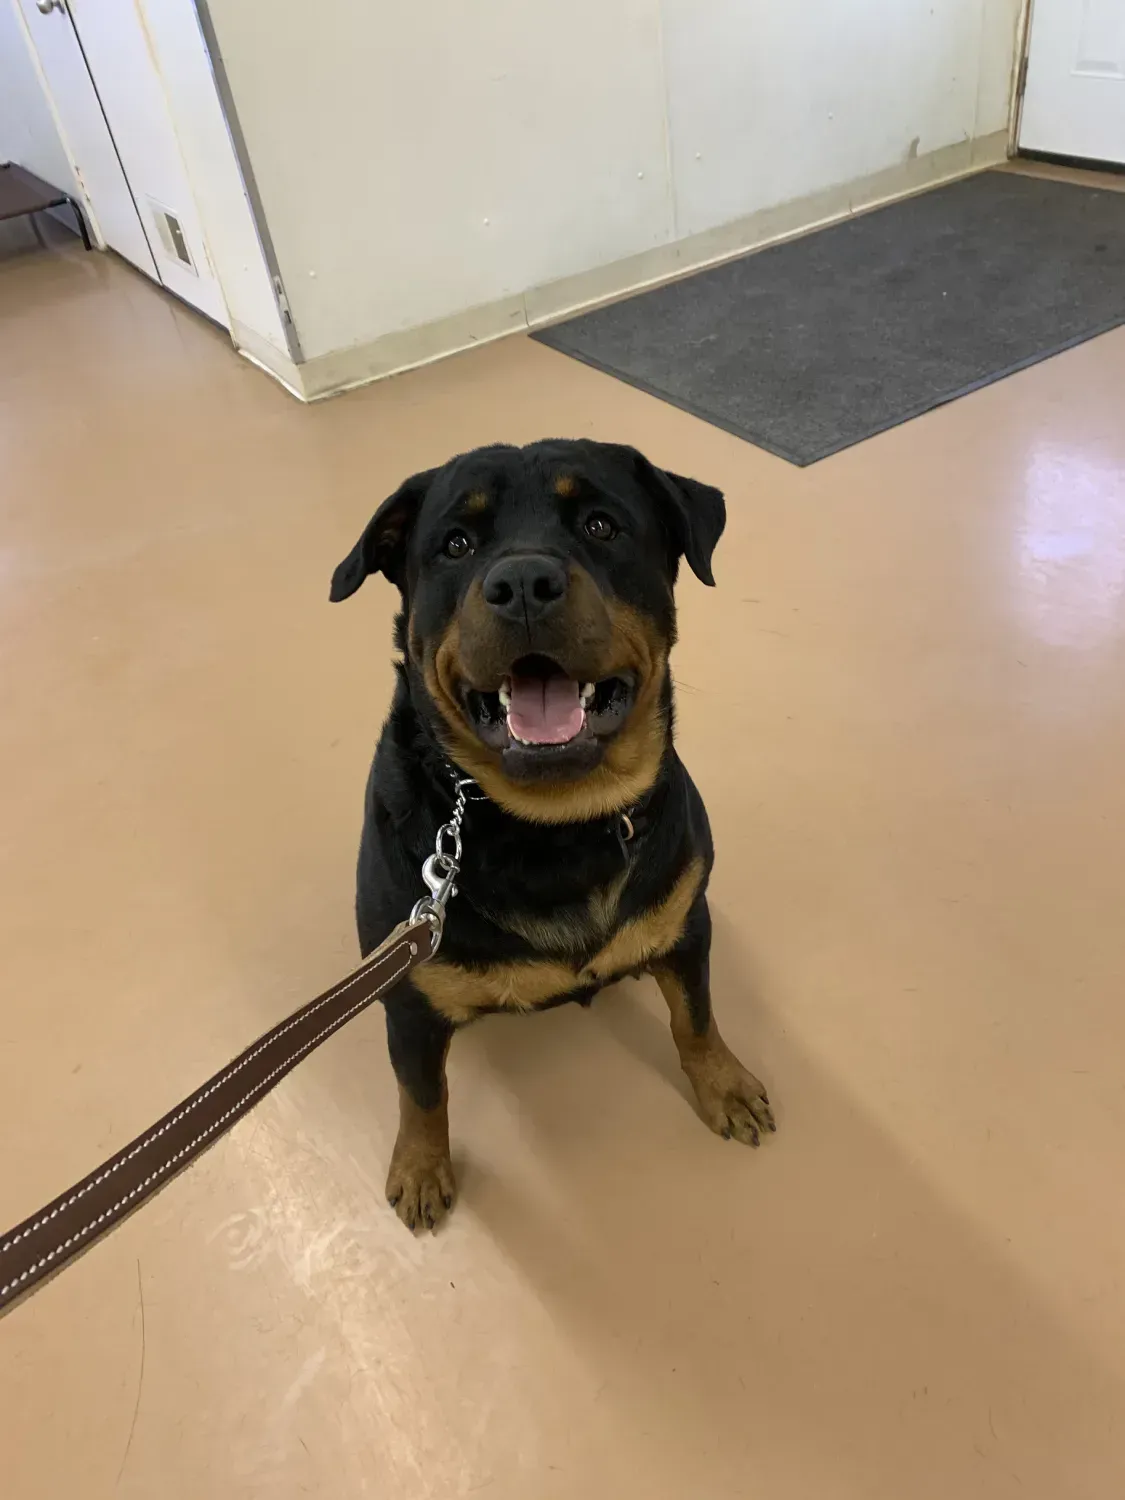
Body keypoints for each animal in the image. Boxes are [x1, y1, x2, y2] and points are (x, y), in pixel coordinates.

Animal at [330, 438, 775, 1231]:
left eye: (601, 525)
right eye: (456, 543)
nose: (523, 583)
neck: (554, 829)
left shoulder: (686, 925)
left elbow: (695, 1020)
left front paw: (723, 1085)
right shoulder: (410, 998)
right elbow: (421, 1094)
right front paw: (420, 1167)